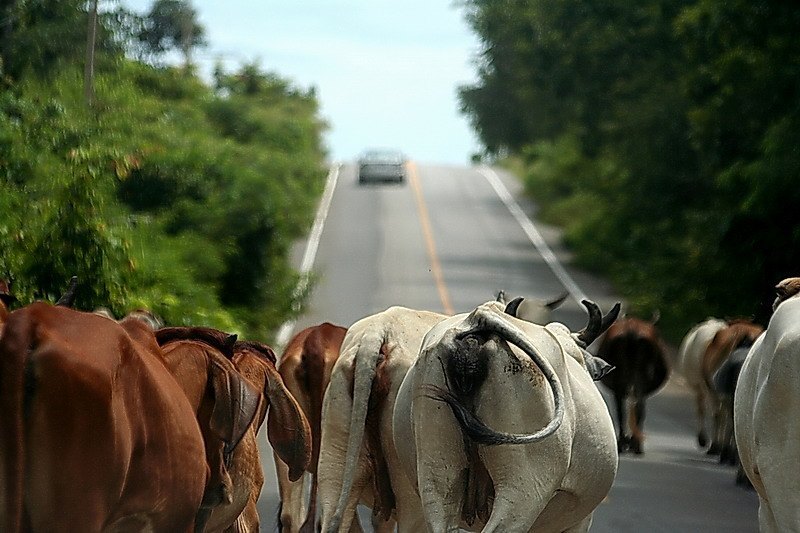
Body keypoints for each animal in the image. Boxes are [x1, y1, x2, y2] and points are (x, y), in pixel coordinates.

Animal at [596, 312, 672, 454]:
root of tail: (632, 331)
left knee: (626, 408)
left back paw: (627, 442)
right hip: (634, 375)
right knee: (634, 407)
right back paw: (633, 443)